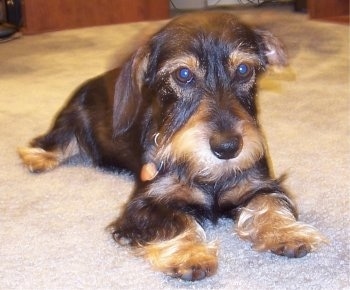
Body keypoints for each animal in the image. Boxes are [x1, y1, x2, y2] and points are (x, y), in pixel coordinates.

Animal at [18, 12, 326, 282]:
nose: (228, 147)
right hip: (71, 118)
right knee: (57, 141)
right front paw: (190, 255)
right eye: (183, 74)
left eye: (243, 69)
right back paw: (37, 157)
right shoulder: (144, 205)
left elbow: (269, 202)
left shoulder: (259, 183)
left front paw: (285, 232)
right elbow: (177, 219)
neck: (207, 172)